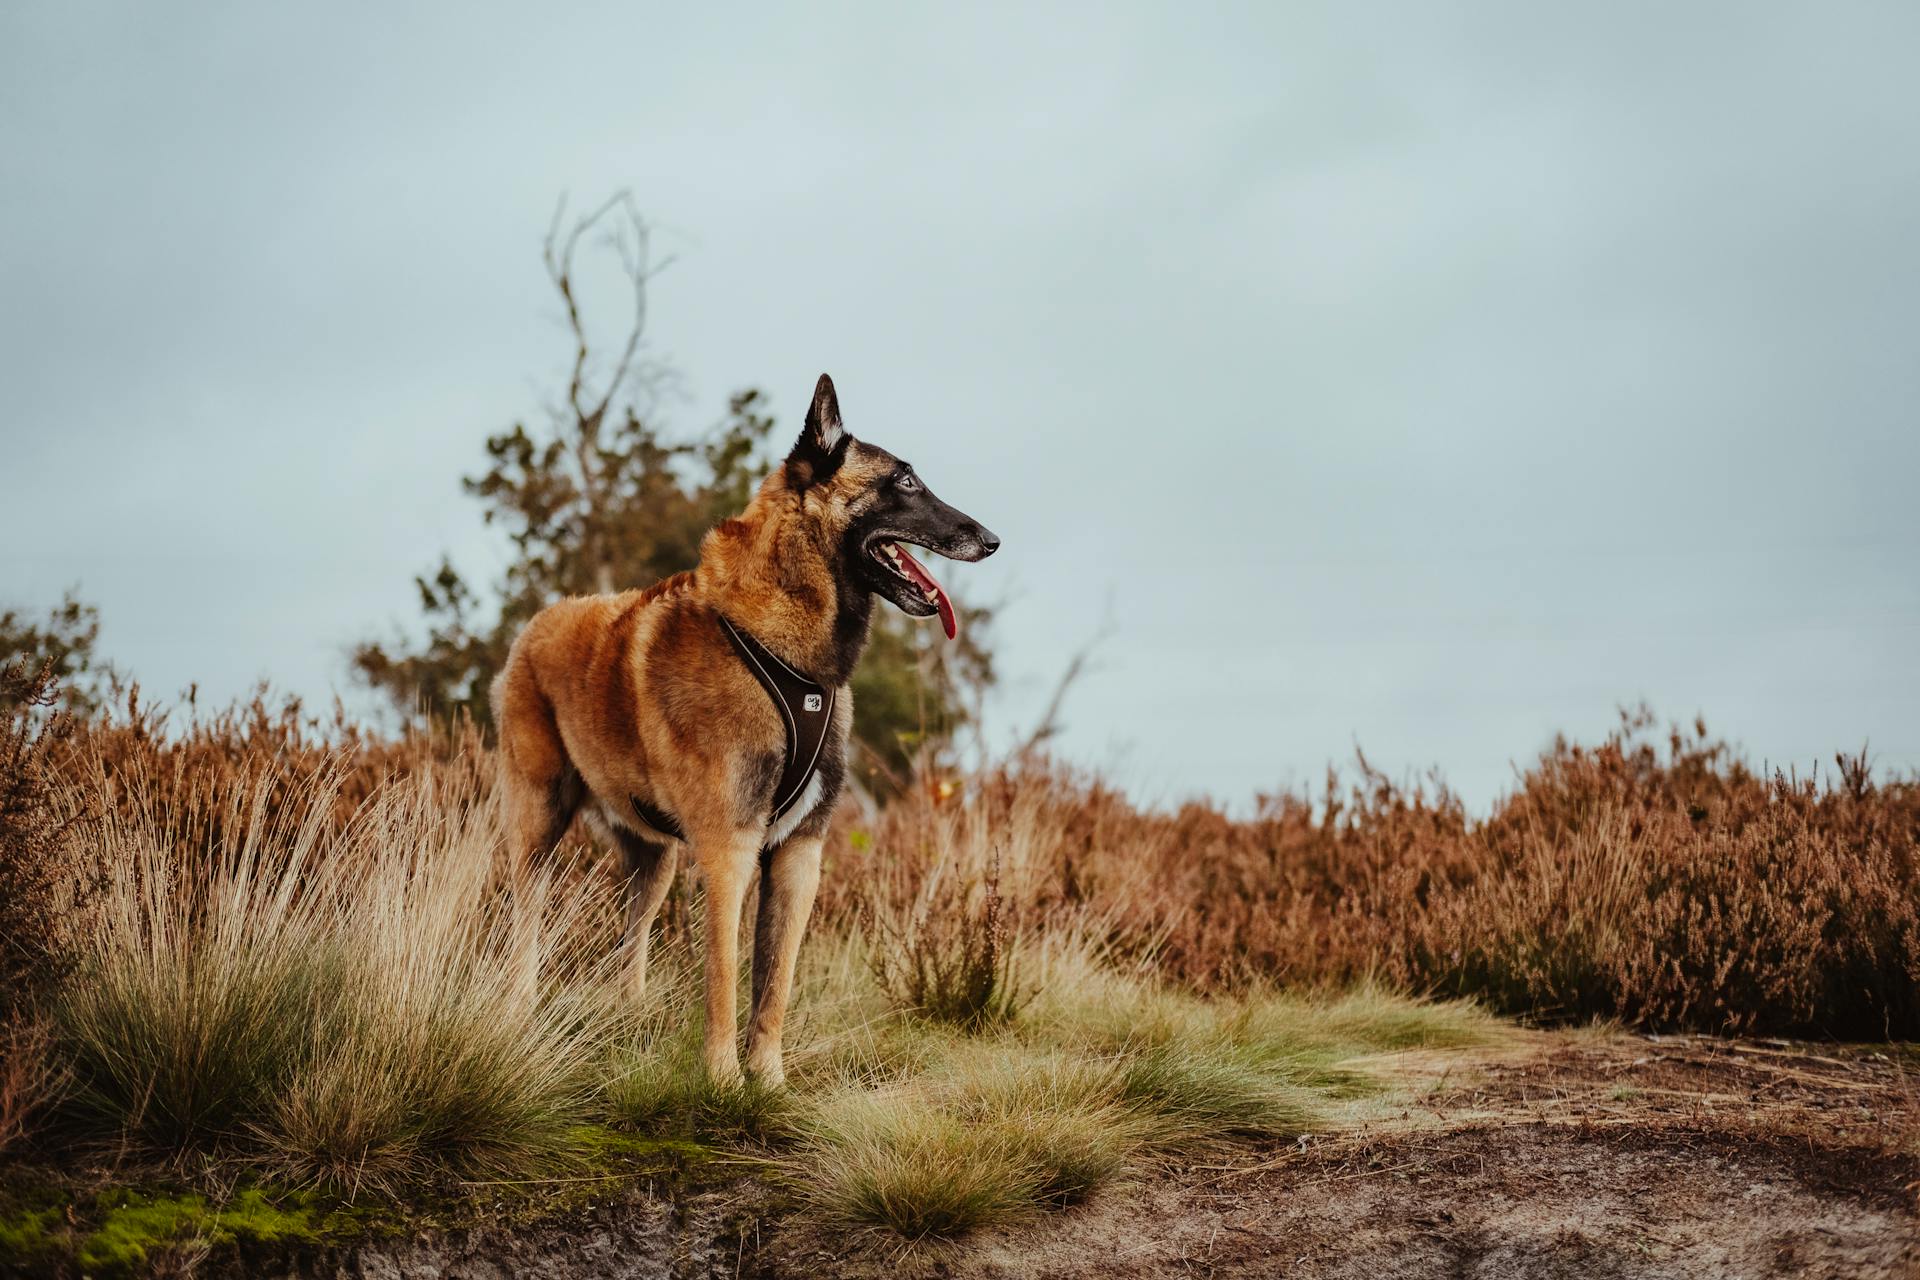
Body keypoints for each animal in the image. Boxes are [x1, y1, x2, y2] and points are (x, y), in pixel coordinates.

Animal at [495, 376, 998, 1090]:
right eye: (904, 481)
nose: (991, 539)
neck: (791, 652)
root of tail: (535, 625)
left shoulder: (797, 856)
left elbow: (774, 984)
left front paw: (770, 1081)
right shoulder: (728, 852)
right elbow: (726, 980)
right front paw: (724, 1082)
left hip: (655, 859)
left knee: (630, 945)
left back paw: (628, 1019)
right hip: (538, 828)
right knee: (525, 931)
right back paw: (518, 1013)